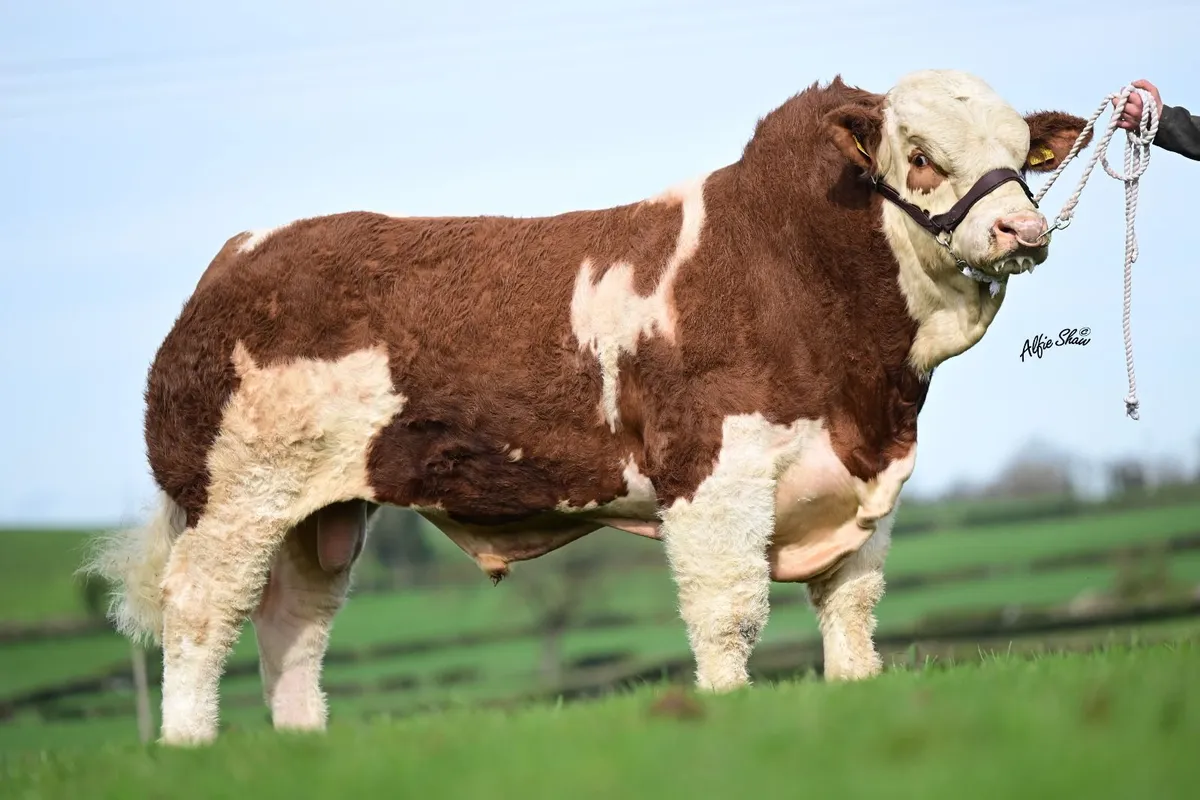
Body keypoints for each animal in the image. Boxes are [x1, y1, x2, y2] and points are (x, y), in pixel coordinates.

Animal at [83, 68, 1091, 746]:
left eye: (1021, 157)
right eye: (919, 157)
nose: (1022, 228)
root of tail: (243, 252)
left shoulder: (865, 486)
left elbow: (853, 613)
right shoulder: (712, 476)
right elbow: (729, 615)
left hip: (320, 514)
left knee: (293, 627)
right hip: (236, 499)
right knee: (201, 611)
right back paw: (189, 747)